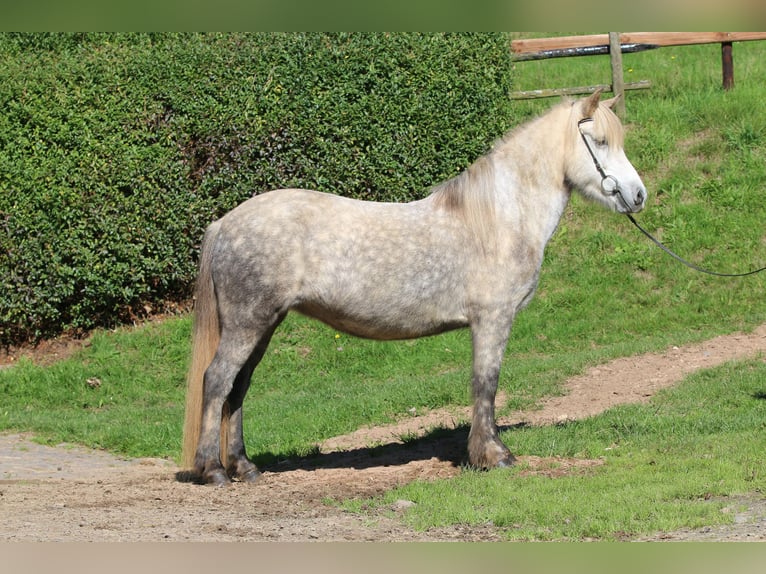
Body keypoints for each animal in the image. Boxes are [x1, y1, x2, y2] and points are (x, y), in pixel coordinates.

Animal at [182, 90, 647, 486]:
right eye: (600, 142)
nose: (638, 195)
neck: (498, 219)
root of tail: (224, 224)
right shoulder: (492, 319)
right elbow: (486, 383)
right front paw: (493, 456)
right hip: (248, 324)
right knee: (218, 381)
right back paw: (213, 470)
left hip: (263, 325)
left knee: (238, 388)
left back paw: (244, 467)